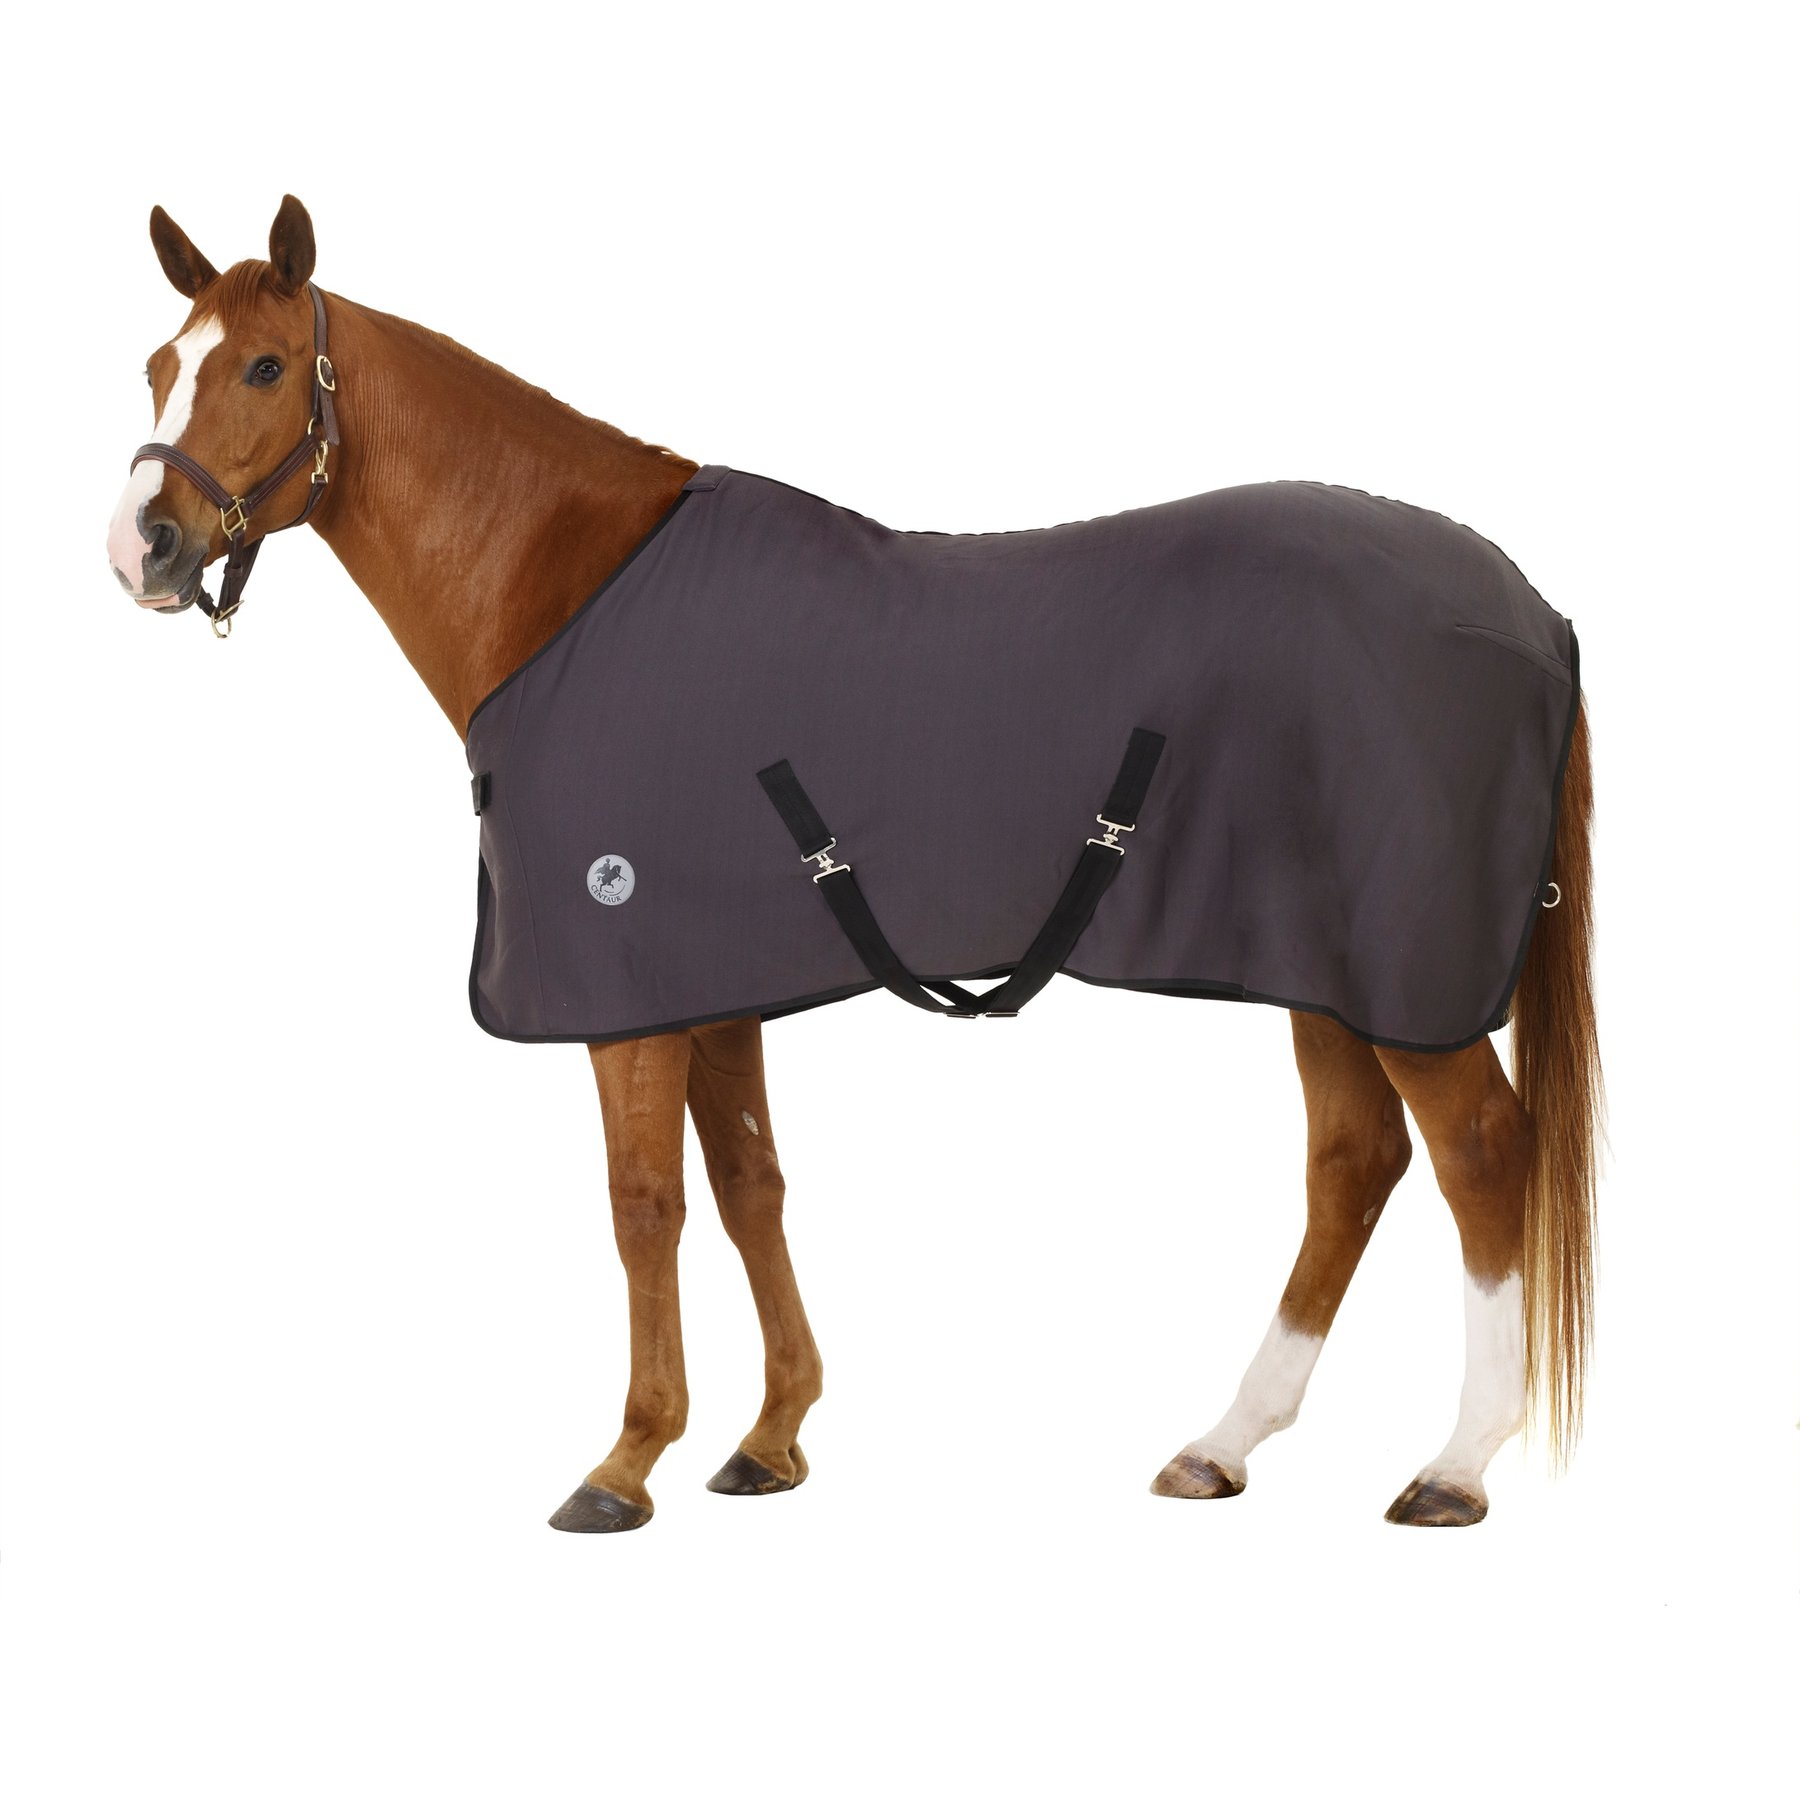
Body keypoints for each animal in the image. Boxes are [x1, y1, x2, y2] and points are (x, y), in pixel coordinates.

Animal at [106, 196, 1601, 1532]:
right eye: (157, 366)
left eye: (262, 365)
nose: (143, 547)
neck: (566, 586)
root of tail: (1536, 612)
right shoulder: (711, 987)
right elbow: (749, 1186)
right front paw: (769, 1439)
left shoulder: (626, 992)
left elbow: (646, 1205)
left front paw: (627, 1460)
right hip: (1322, 967)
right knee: (1354, 1162)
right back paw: (1223, 1444)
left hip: (1403, 974)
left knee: (1480, 1152)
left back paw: (1456, 1466)